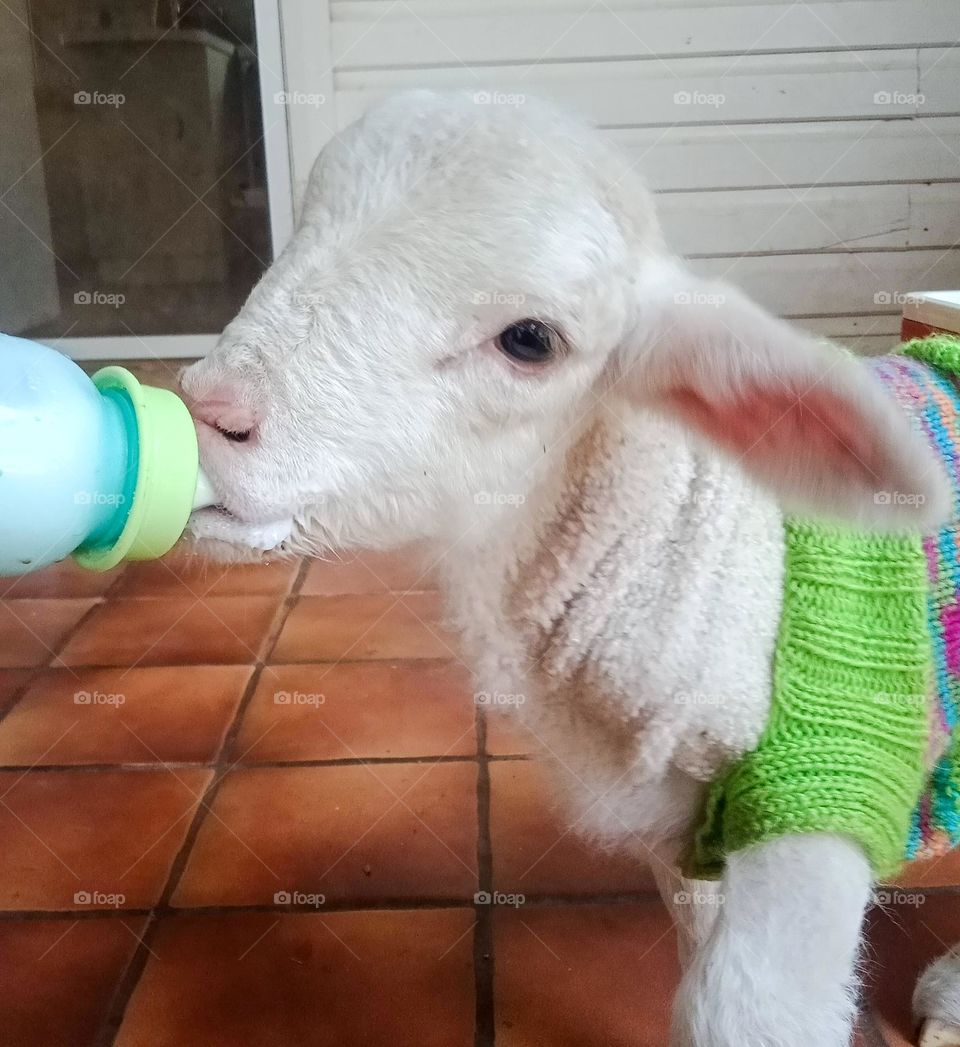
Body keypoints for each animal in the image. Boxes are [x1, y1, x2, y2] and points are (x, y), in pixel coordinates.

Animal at [180, 92, 958, 1047]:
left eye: (529, 340)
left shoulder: (826, 793)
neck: (724, 557)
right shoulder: (685, 840)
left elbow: (736, 1005)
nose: (209, 411)